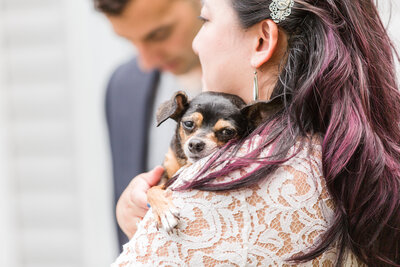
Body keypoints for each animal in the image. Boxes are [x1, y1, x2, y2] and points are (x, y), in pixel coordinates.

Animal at [145, 91, 280, 233]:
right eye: (188, 123)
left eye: (227, 131)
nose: (195, 144)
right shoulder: (165, 172)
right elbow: (152, 190)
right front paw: (164, 212)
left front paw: (164, 213)